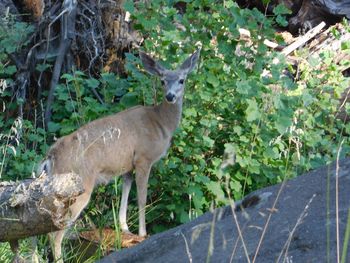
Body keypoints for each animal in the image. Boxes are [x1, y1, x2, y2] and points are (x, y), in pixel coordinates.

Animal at [37, 49, 200, 262]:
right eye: (163, 80)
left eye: (182, 80)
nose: (170, 96)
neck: (160, 124)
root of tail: (50, 158)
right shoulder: (143, 158)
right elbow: (142, 197)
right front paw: (143, 233)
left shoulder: (127, 166)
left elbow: (125, 193)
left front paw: (125, 229)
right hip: (78, 187)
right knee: (54, 234)